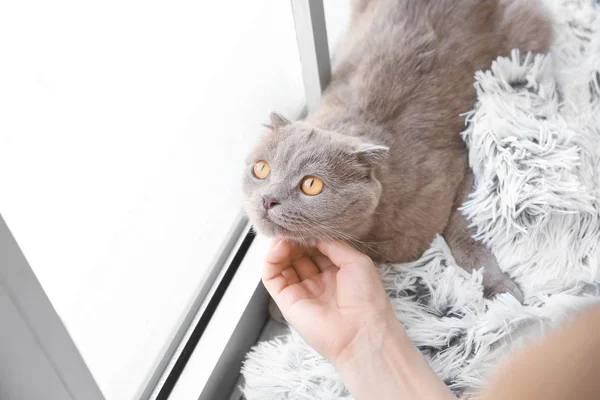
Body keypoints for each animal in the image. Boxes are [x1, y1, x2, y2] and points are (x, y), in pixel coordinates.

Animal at [241, 0, 552, 300]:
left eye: (311, 185)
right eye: (261, 169)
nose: (268, 199)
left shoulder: (461, 168)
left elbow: (463, 230)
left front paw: (499, 290)